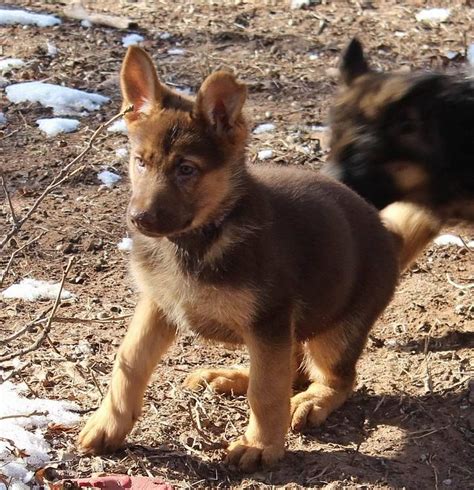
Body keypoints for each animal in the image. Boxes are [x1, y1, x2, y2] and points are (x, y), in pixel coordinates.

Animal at [79, 47, 438, 470]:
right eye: (140, 162)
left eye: (186, 169)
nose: (139, 219)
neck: (200, 238)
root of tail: (387, 233)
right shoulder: (159, 306)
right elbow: (129, 363)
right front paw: (109, 424)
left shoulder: (268, 318)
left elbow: (267, 392)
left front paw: (261, 445)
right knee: (289, 369)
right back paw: (232, 376)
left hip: (336, 329)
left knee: (333, 379)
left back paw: (310, 401)